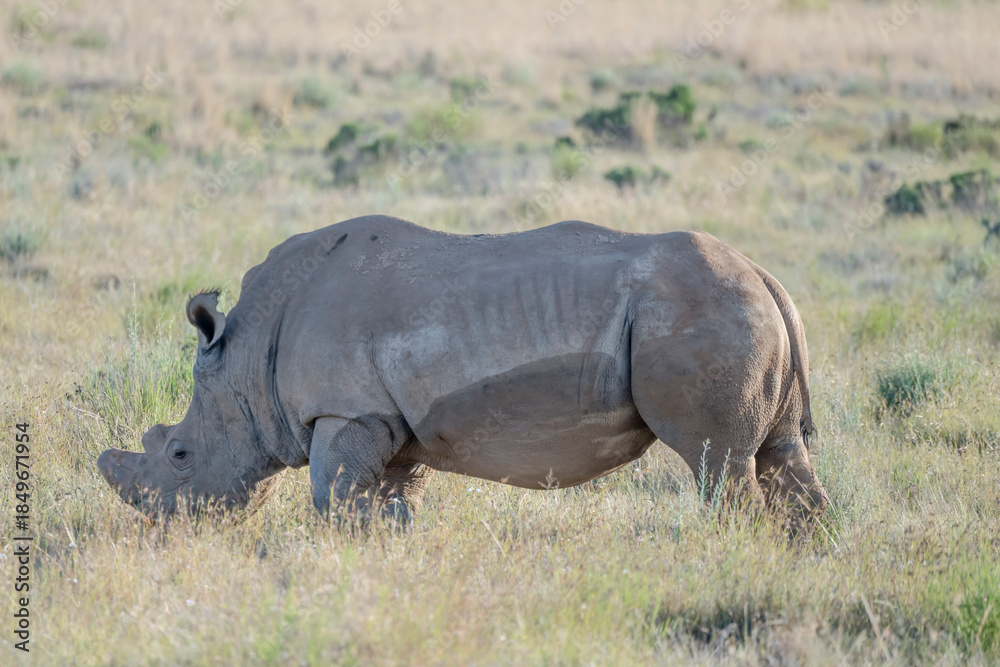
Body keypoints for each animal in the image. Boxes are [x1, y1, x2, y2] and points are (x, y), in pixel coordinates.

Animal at [98, 216, 829, 527]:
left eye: (181, 453)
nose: (165, 525)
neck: (249, 356)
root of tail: (766, 276)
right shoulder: (391, 422)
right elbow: (388, 500)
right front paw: (390, 546)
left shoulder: (347, 409)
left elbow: (334, 497)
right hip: (739, 308)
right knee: (779, 456)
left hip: (703, 310)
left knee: (717, 463)